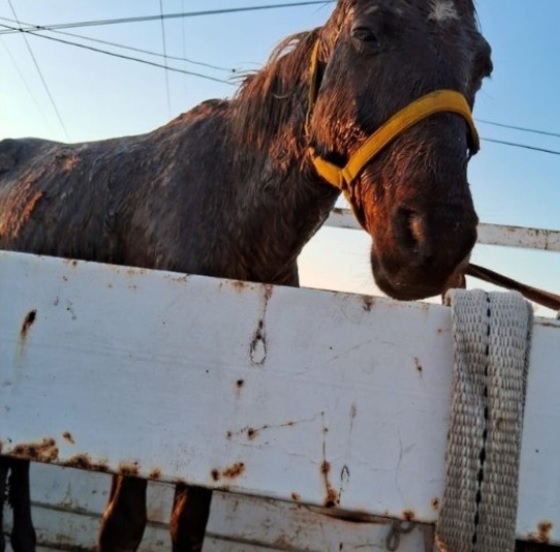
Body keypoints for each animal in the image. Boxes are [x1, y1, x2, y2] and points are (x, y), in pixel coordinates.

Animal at [0, 1, 492, 552]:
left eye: (483, 66)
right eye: (366, 34)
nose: (438, 240)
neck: (225, 202)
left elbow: (189, 523)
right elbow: (122, 525)